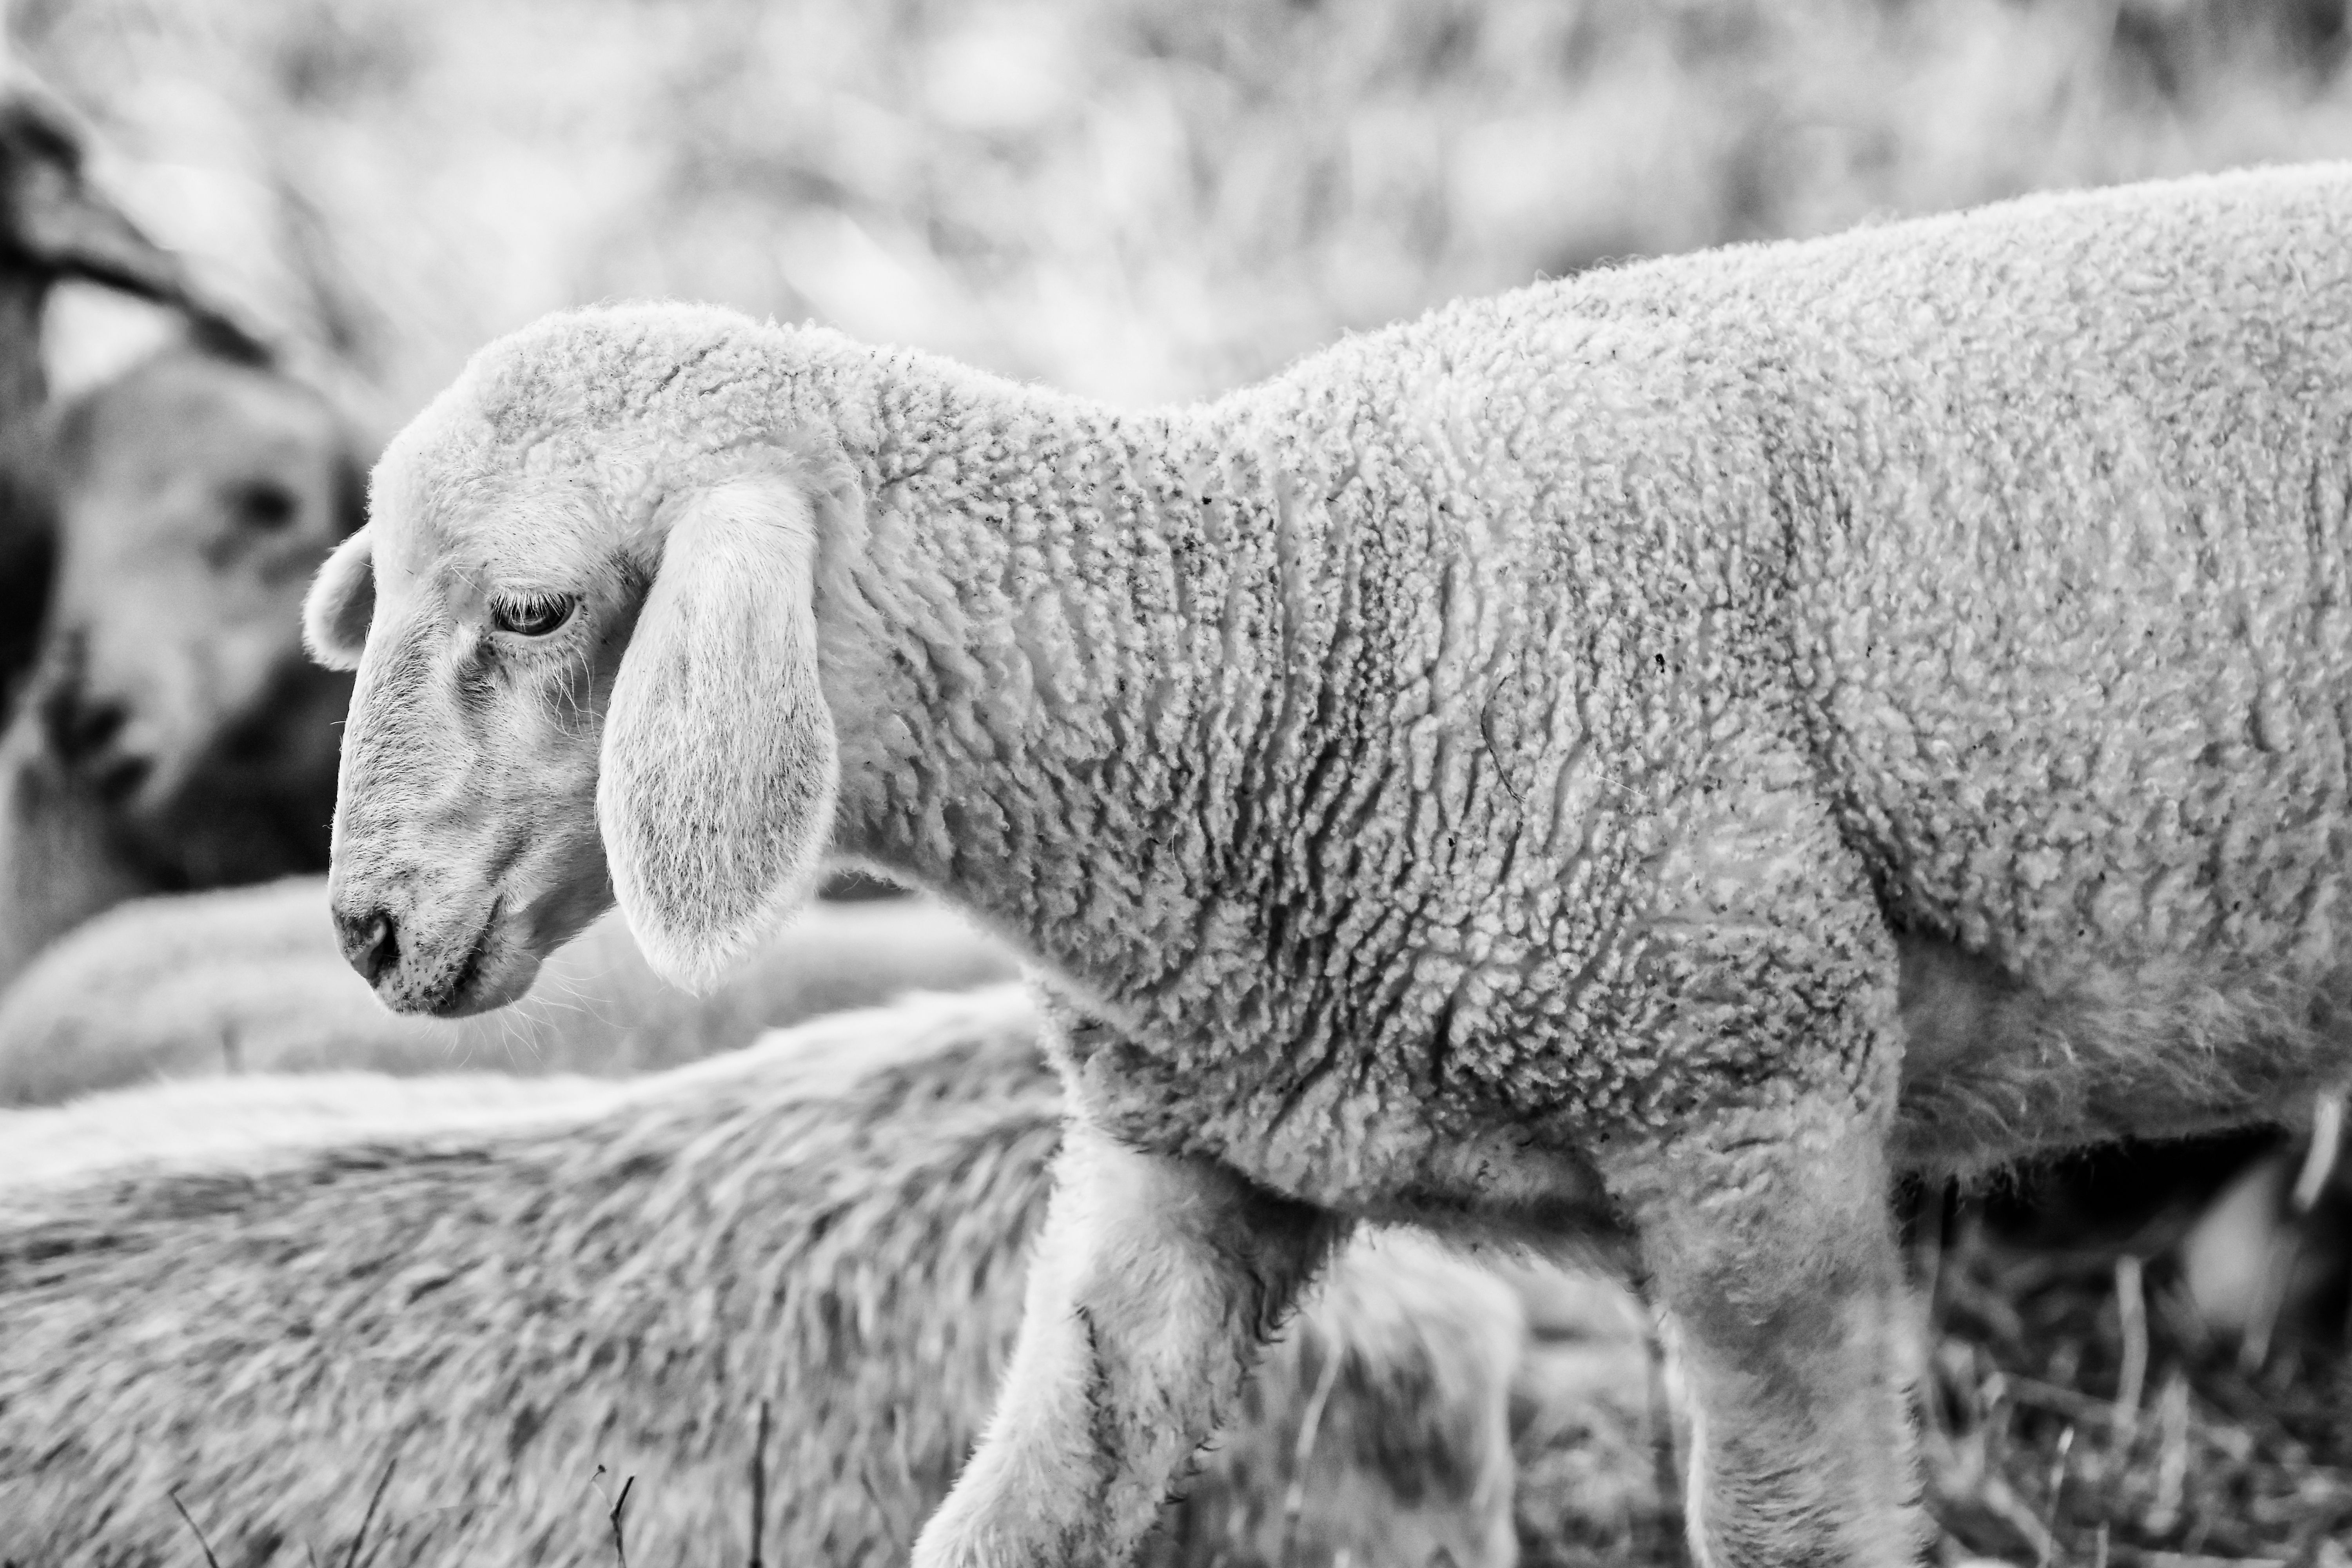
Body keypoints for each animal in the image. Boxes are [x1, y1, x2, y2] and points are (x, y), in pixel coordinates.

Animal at [297, 163, 2352, 1566]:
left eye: (533, 608)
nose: (365, 930)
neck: (1288, 644)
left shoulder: (1754, 1102)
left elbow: (1787, 1524)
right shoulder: (1186, 1170)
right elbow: (1035, 1489)